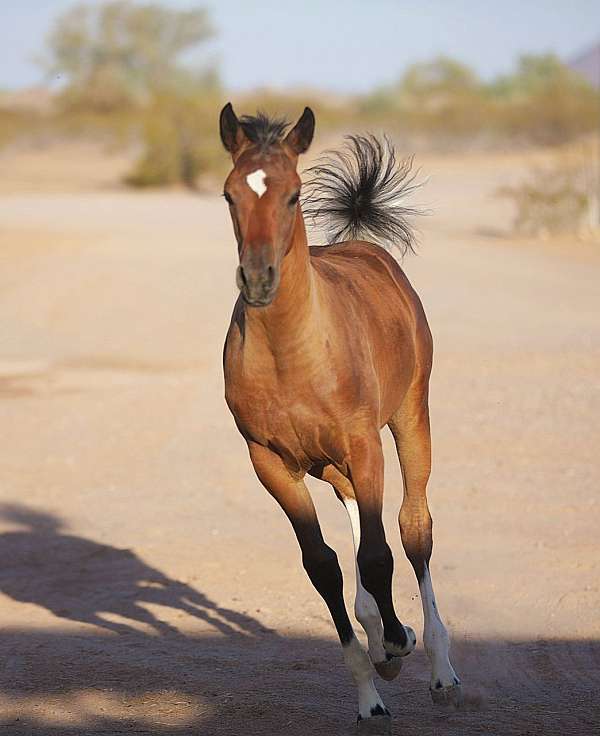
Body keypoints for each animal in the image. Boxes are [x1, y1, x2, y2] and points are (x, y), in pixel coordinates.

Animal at [219, 102, 460, 732]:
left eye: (293, 194)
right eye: (230, 194)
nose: (258, 279)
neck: (293, 354)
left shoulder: (363, 442)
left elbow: (378, 553)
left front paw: (399, 644)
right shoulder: (271, 463)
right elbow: (324, 565)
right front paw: (370, 696)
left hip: (409, 417)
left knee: (413, 528)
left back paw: (439, 670)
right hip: (329, 465)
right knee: (358, 521)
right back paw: (381, 639)